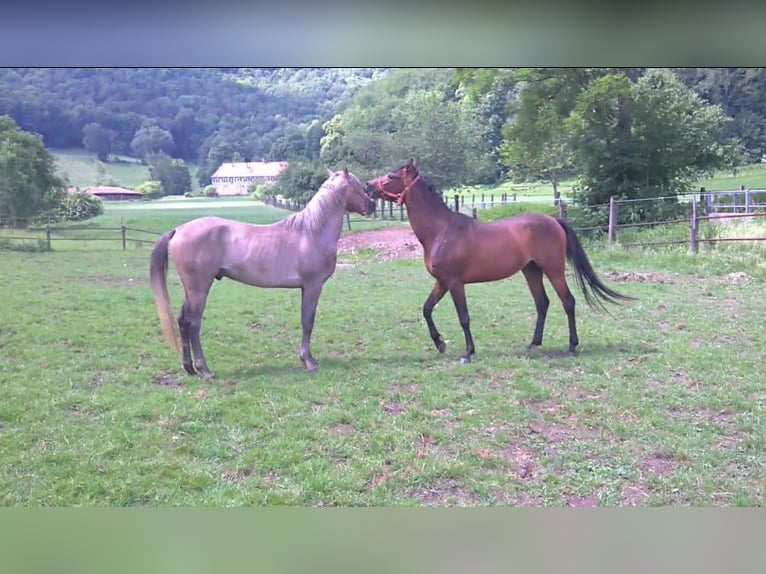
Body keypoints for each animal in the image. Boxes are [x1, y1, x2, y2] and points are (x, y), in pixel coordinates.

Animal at [150, 169, 376, 380]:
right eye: (357, 186)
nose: (372, 205)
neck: (311, 232)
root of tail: (178, 230)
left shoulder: (306, 288)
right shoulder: (313, 285)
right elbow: (308, 321)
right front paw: (309, 361)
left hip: (190, 289)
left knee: (182, 321)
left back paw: (189, 368)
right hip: (199, 289)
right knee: (193, 323)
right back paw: (204, 369)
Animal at [366, 159, 636, 364]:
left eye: (390, 176)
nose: (368, 186)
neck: (441, 230)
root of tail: (553, 221)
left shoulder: (454, 282)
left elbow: (464, 317)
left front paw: (468, 353)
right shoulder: (442, 282)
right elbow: (426, 309)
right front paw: (440, 343)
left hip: (553, 269)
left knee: (568, 301)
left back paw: (571, 346)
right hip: (531, 271)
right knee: (542, 303)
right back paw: (533, 344)